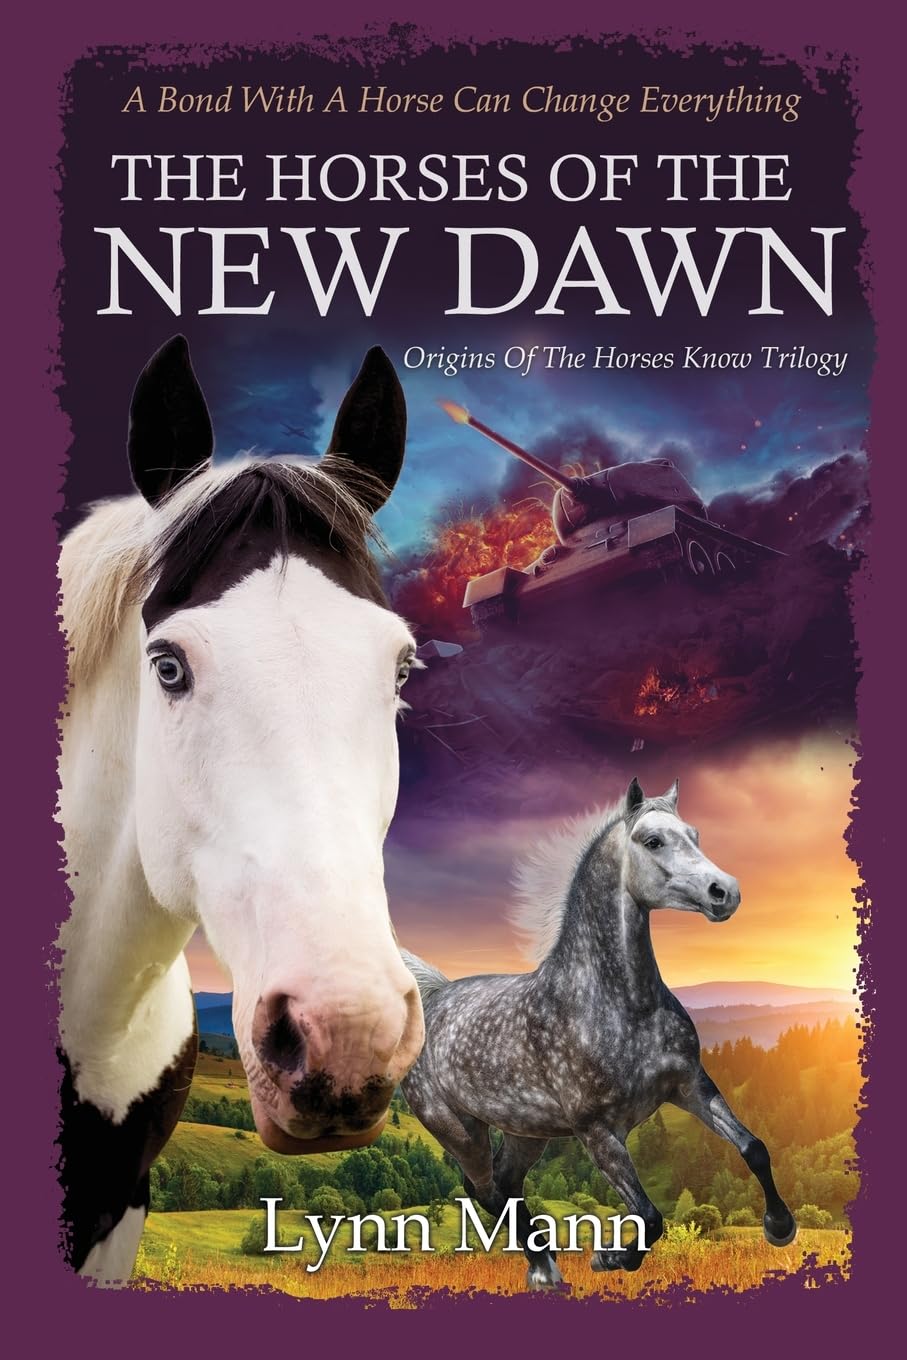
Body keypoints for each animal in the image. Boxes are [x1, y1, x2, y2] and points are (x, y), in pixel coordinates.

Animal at [401, 777, 796, 1290]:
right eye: (653, 841)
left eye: (694, 834)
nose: (724, 892)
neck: (619, 1004)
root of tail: (432, 999)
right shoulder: (599, 1132)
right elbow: (650, 1217)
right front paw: (610, 1259)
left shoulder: (691, 1086)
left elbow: (754, 1148)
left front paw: (780, 1227)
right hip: (459, 1130)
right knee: (483, 1189)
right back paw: (546, 1269)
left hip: (527, 1131)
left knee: (505, 1184)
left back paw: (546, 1270)